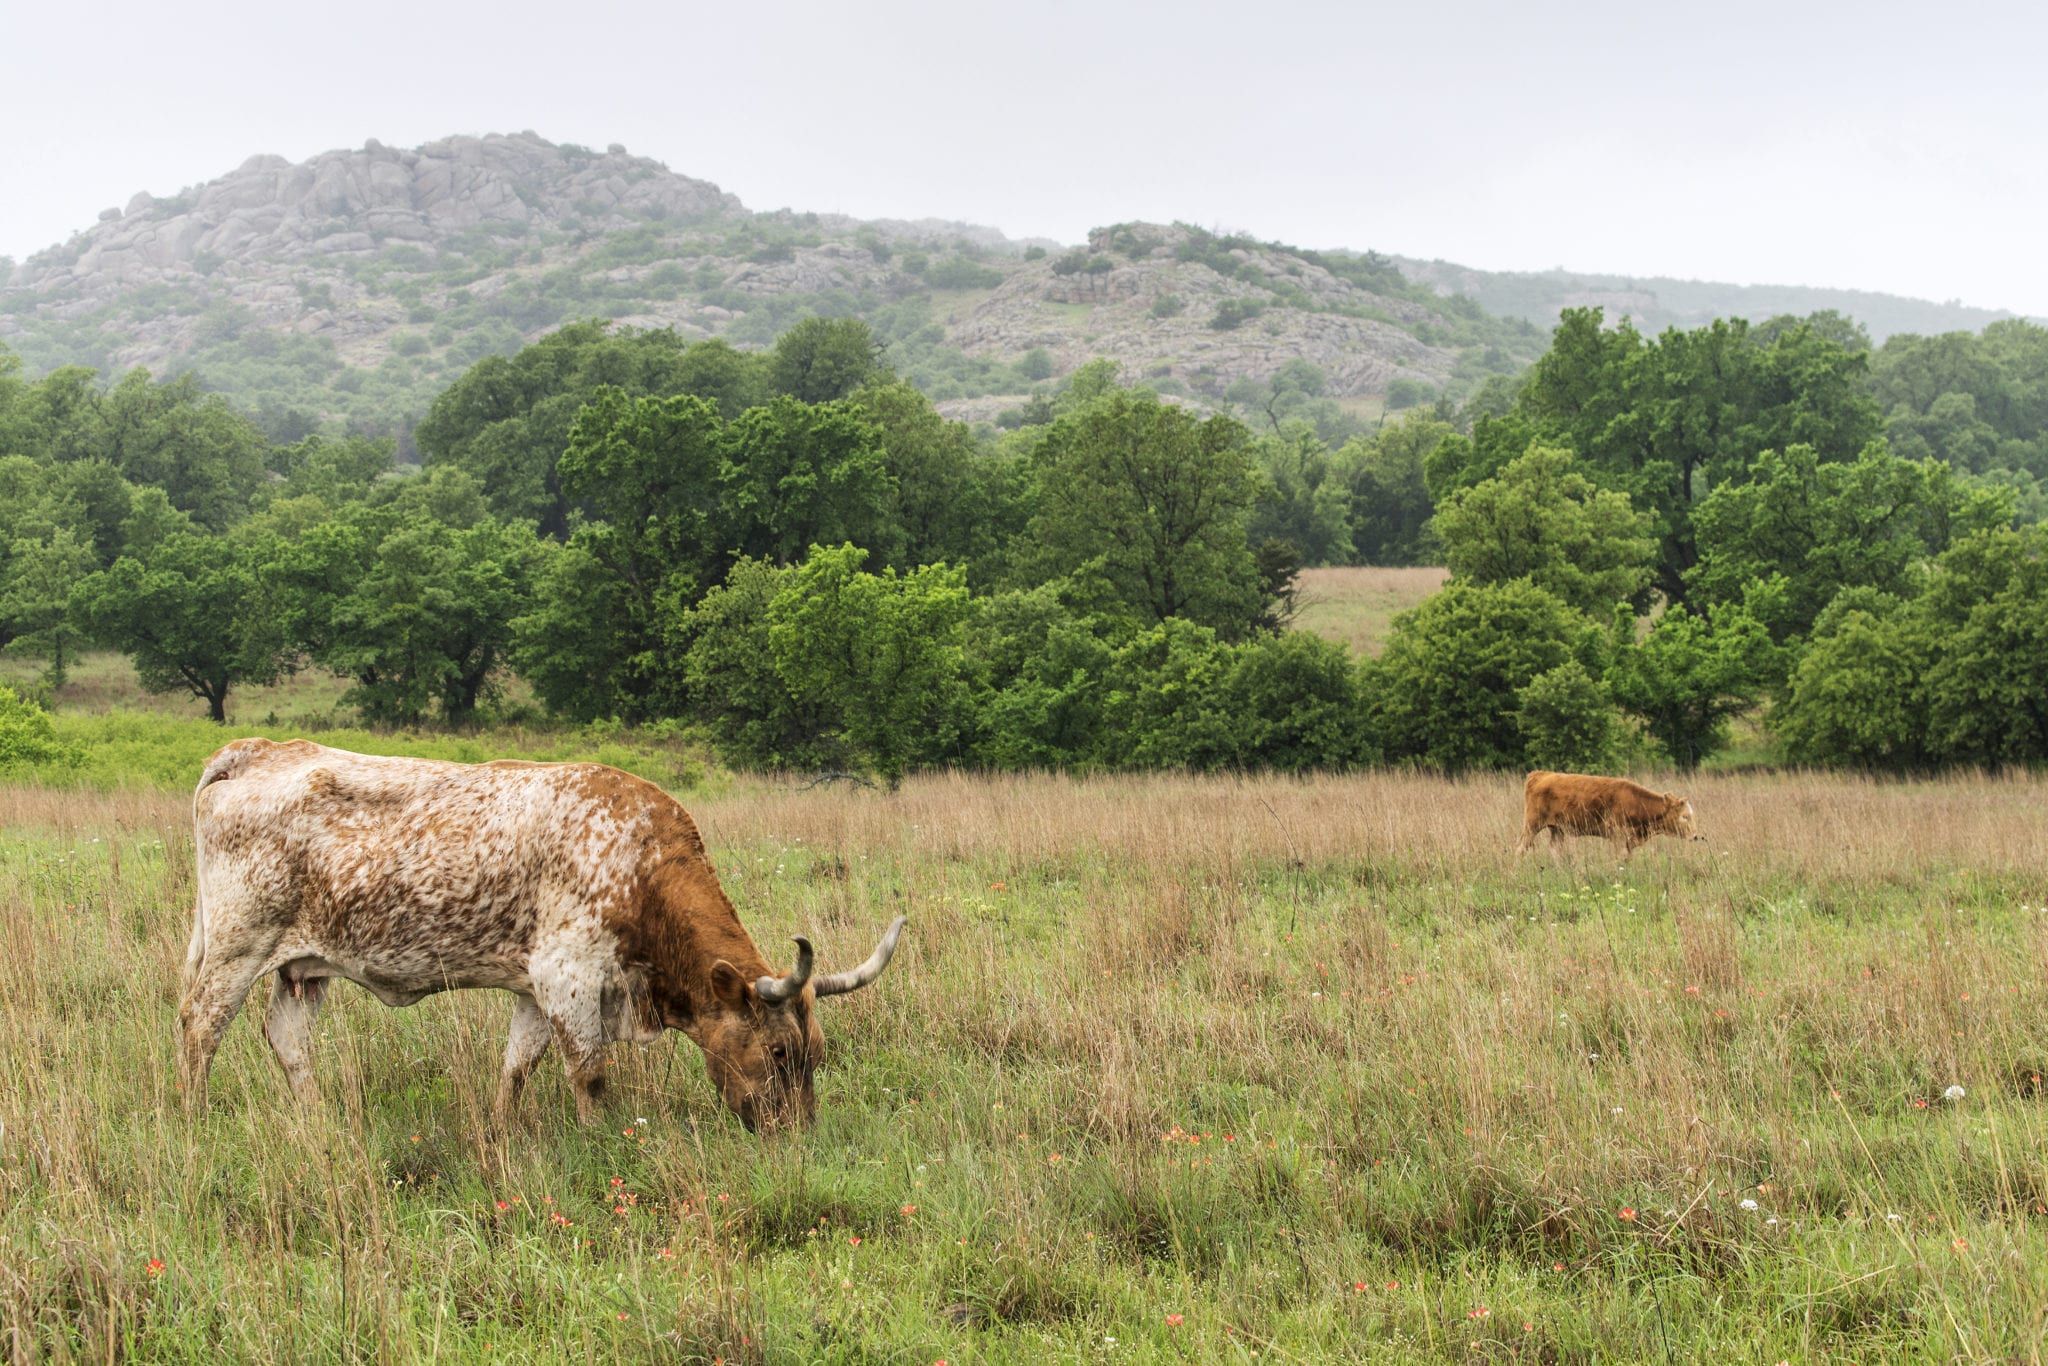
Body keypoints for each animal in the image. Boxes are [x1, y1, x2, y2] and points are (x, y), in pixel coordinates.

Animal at [177, 738, 906, 1133]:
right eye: (780, 1053)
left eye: (817, 1055)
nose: (796, 1137)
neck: (641, 865)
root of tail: (256, 750)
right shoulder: (569, 978)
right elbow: (589, 1074)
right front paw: (603, 1143)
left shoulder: (534, 987)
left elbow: (517, 1067)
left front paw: (503, 1131)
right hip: (237, 945)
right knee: (200, 1028)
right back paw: (194, 1120)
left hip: (302, 968)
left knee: (287, 1039)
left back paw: (319, 1117)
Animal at [1517, 770, 1704, 856]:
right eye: (1685, 816)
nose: (1695, 836)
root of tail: (1540, 774)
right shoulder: (1619, 838)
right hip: (1531, 826)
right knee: (1520, 848)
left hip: (1557, 830)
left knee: (1554, 851)